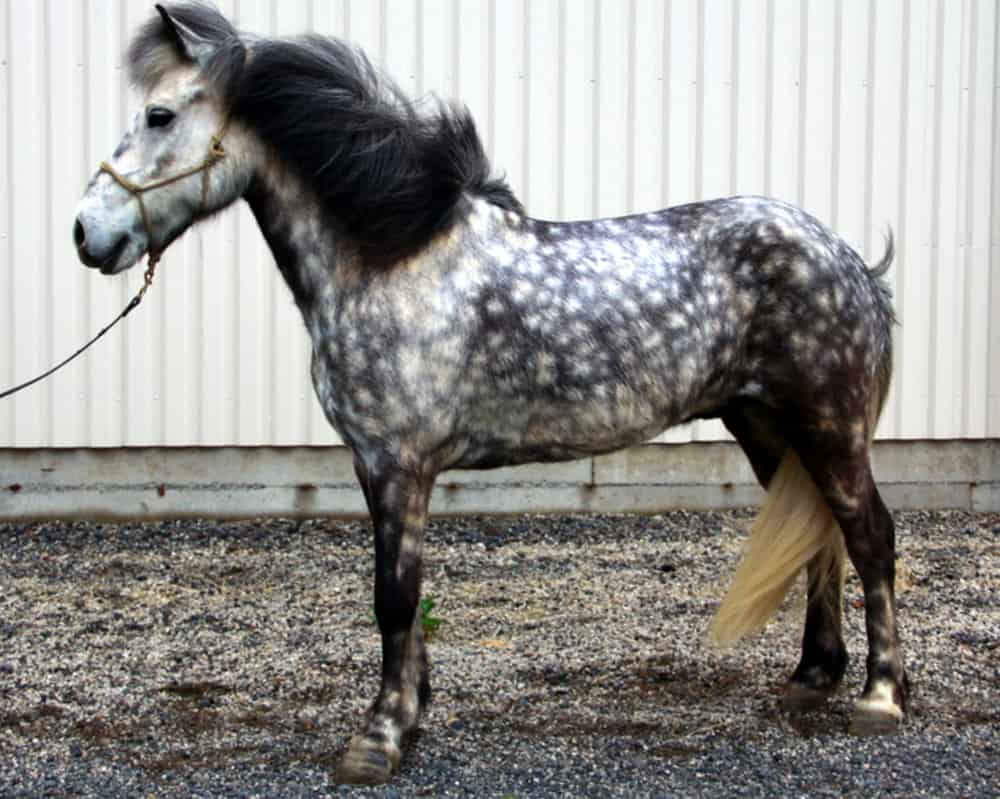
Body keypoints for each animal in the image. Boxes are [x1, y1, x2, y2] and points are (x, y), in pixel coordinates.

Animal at [73, 2, 906, 785]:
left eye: (160, 115)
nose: (86, 232)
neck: (393, 257)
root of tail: (848, 259)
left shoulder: (398, 463)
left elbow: (393, 595)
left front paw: (378, 739)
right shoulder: (378, 466)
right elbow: (405, 598)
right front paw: (411, 715)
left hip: (827, 424)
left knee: (869, 534)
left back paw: (880, 695)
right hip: (766, 424)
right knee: (821, 532)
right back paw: (813, 676)